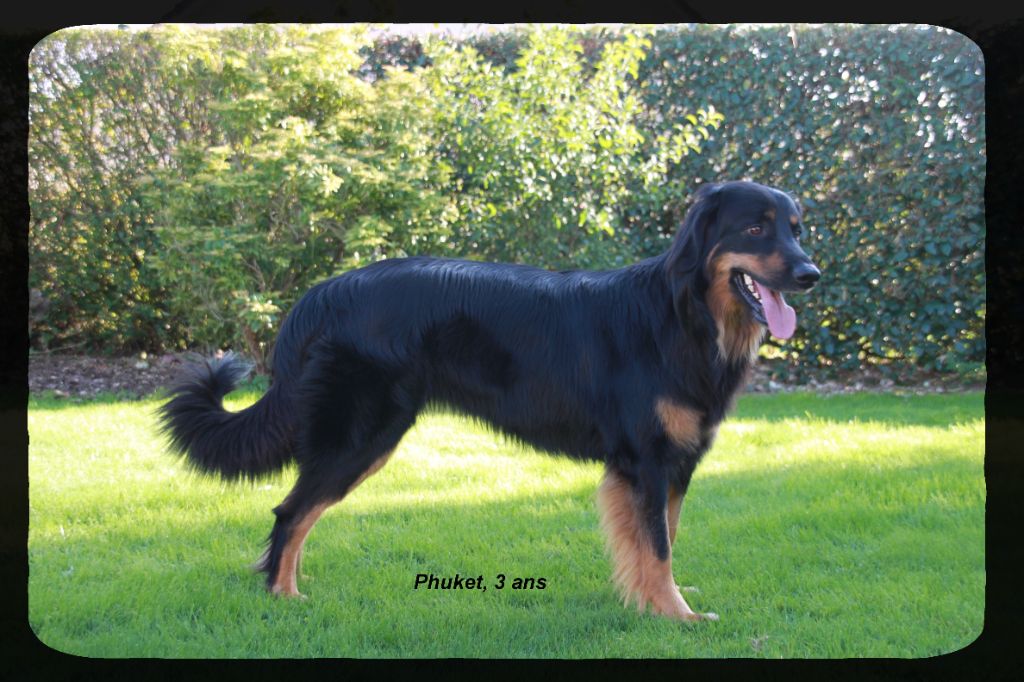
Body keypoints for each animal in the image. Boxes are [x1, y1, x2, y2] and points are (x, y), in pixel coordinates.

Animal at [160, 180, 820, 621]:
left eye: (795, 227)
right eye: (755, 228)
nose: (812, 274)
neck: (682, 316)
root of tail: (321, 293)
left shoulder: (673, 465)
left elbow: (661, 541)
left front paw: (649, 604)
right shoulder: (648, 462)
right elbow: (657, 546)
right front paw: (676, 616)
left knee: (296, 514)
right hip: (362, 436)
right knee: (290, 512)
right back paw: (283, 598)